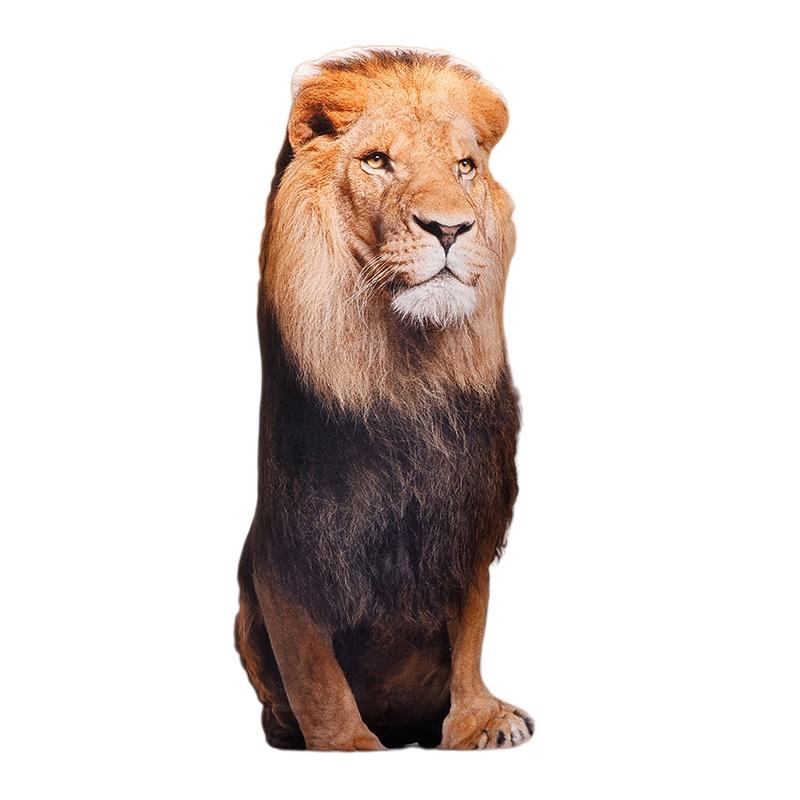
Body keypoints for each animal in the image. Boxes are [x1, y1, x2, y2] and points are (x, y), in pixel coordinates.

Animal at [234, 46, 533, 750]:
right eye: (377, 161)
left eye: (464, 166)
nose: (450, 229)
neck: (404, 373)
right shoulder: (292, 541)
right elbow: (314, 672)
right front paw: (345, 747)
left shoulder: (466, 515)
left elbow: (471, 628)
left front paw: (478, 720)